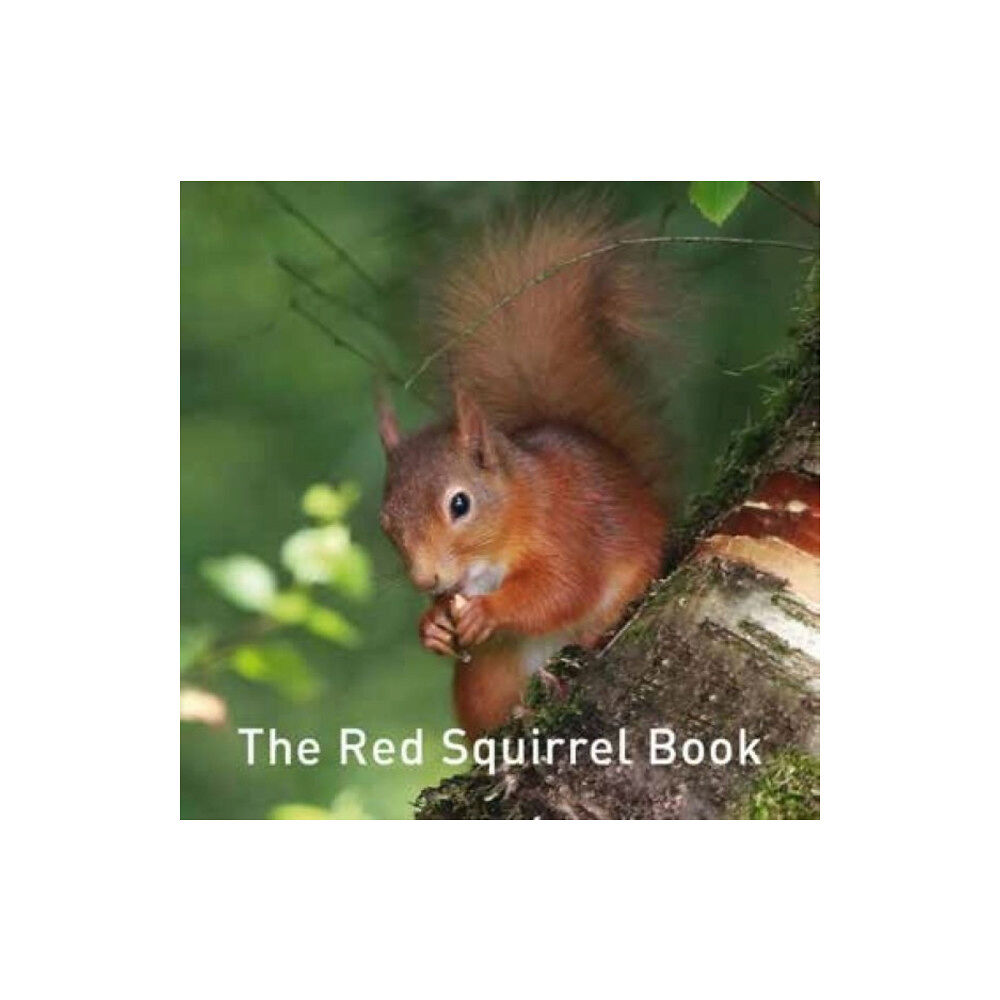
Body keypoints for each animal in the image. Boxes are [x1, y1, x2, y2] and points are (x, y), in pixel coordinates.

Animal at [377, 209, 668, 739]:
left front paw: (488, 612)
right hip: (487, 677)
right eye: (385, 523)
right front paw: (431, 625)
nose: (425, 579)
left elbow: (562, 588)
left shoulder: (569, 528)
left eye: (460, 503)